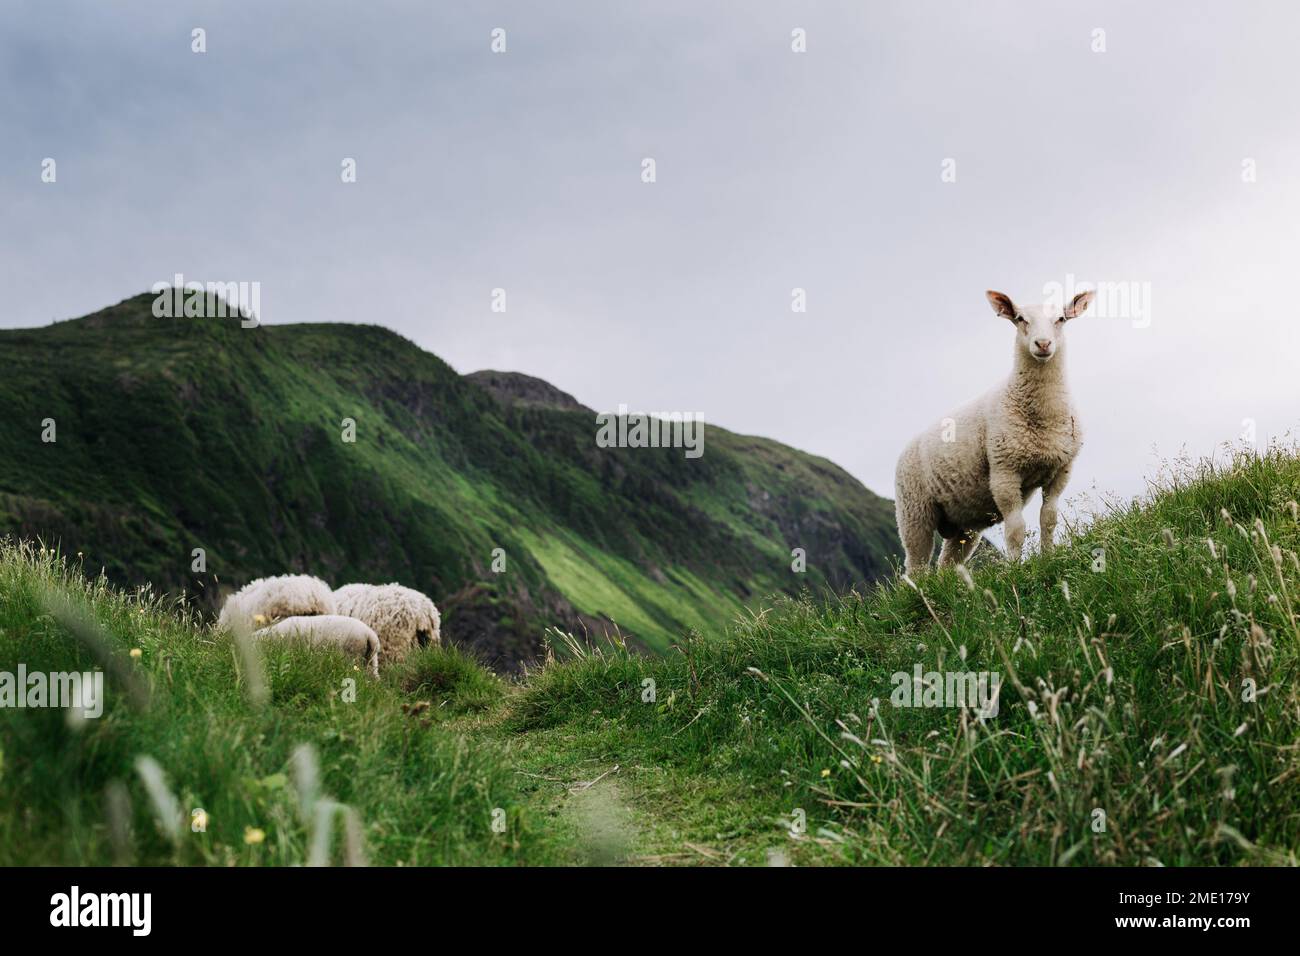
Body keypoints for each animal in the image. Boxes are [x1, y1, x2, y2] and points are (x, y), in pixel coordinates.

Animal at [894, 287, 1094, 574]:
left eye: (1061, 319)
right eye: (1020, 319)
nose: (1043, 344)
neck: (1043, 416)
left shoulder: (1061, 470)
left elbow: (1049, 519)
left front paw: (1048, 557)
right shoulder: (1004, 473)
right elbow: (1016, 530)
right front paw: (1015, 570)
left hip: (964, 522)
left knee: (947, 563)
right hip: (914, 511)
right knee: (916, 566)